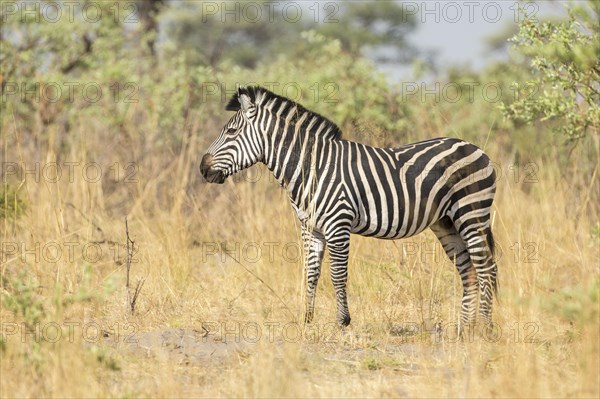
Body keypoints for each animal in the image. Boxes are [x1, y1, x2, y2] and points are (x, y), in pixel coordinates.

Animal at [202, 86, 496, 332]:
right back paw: (464, 328)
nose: (202, 168)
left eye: (231, 132)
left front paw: (342, 321)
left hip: (471, 213)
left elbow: (337, 274)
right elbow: (311, 273)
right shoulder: (311, 229)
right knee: (469, 271)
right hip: (446, 222)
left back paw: (484, 328)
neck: (311, 169)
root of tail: (476, 148)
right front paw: (307, 320)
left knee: (487, 268)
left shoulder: (338, 225)